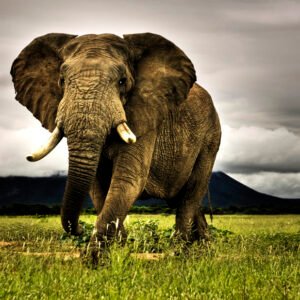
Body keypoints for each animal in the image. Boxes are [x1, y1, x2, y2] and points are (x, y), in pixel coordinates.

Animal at [10, 32, 221, 248]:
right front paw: (119, 246)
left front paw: (97, 255)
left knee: (191, 194)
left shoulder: (145, 116)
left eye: (122, 82)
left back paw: (180, 249)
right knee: (183, 199)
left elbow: (128, 179)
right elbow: (98, 187)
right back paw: (203, 247)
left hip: (210, 139)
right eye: (61, 80)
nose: (79, 229)